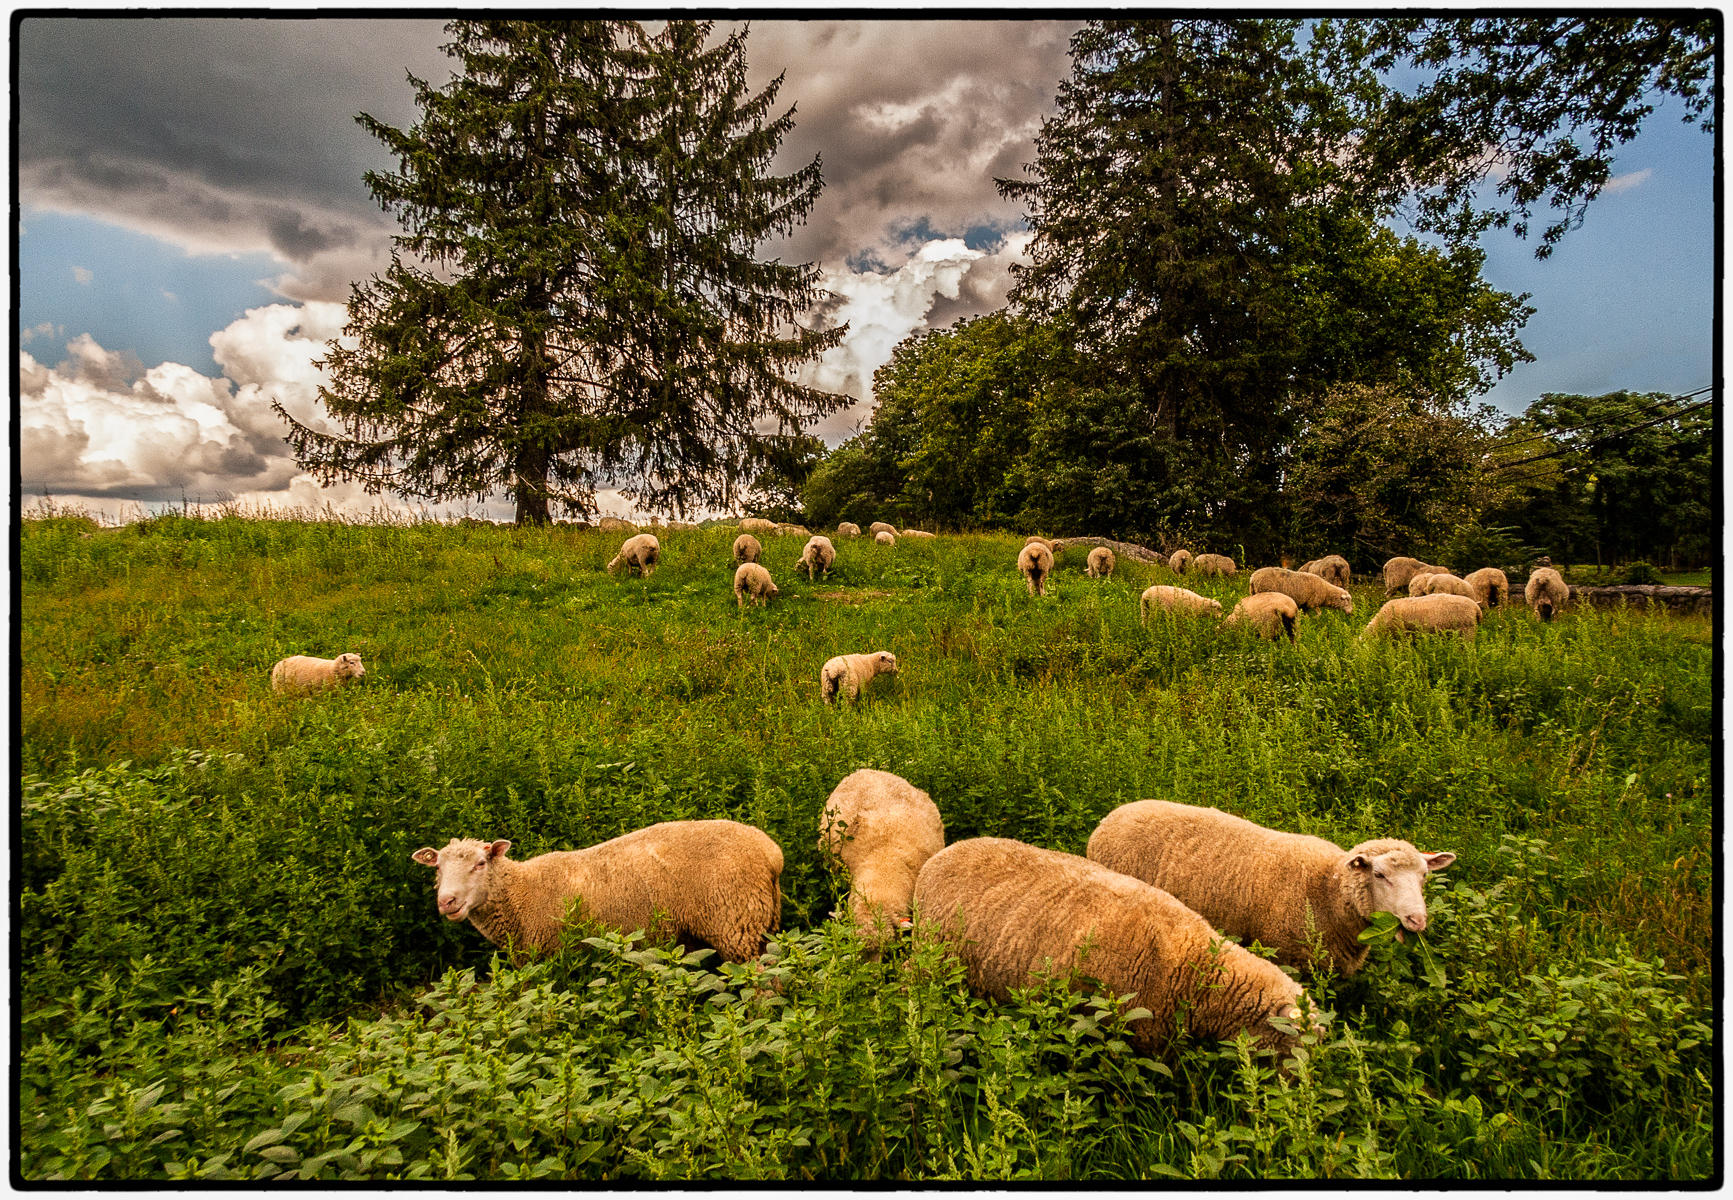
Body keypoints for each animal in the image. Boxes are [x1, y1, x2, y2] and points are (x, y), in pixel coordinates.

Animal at [412, 815, 779, 964]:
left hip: (736, 924)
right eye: (438, 868)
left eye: (480, 864)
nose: (447, 901)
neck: (521, 892)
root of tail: (771, 853)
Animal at [1088, 797, 1455, 978]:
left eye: (1424, 876)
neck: (1326, 889)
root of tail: (1111, 817)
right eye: (1379, 875)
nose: (1418, 921)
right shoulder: (1288, 956)